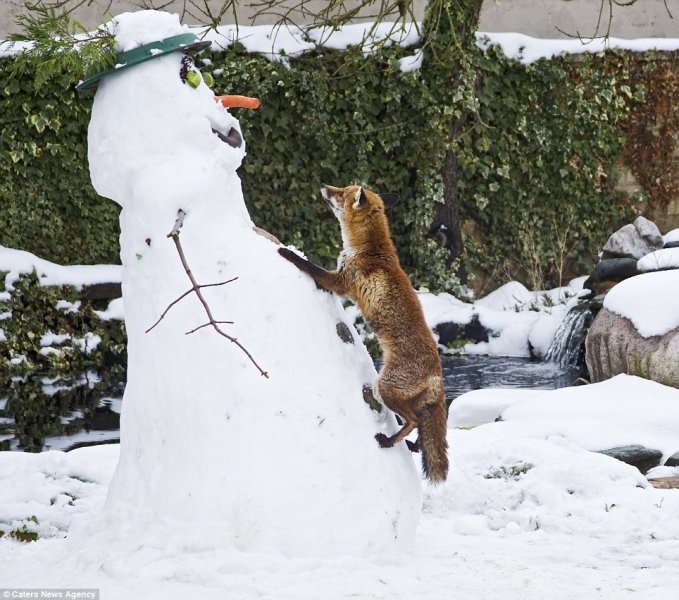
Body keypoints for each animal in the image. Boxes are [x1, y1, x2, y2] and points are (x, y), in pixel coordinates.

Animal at [278, 184, 448, 483]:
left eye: (341, 193)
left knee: (413, 421)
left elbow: (309, 266)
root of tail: (437, 373)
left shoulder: (341, 282)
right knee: (418, 430)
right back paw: (410, 445)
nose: (323, 185)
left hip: (384, 388)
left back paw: (389, 442)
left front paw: (287, 252)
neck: (369, 249)